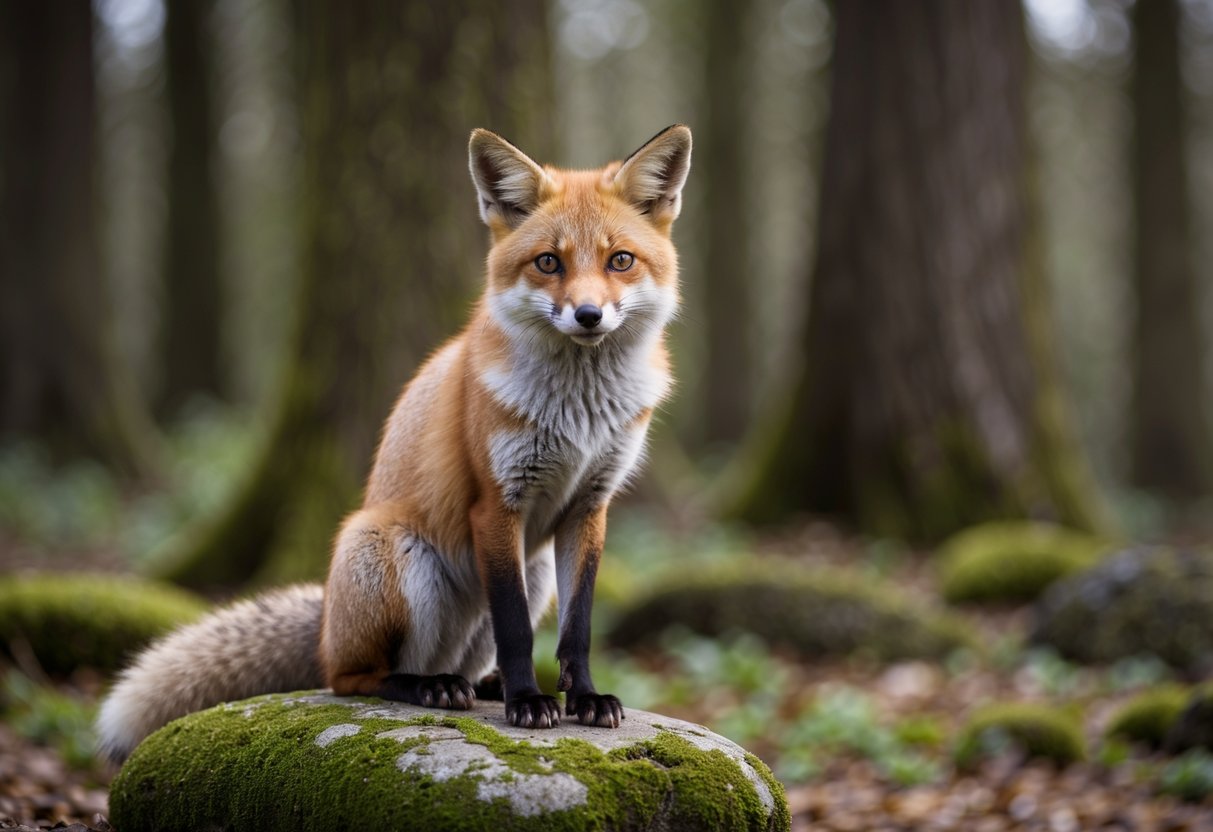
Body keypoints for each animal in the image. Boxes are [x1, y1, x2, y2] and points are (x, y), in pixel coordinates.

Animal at [96, 124, 693, 761]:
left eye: (620, 260)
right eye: (548, 262)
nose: (587, 315)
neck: (579, 415)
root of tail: (327, 625)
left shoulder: (589, 506)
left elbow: (577, 630)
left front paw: (582, 698)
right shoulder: (495, 504)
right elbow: (514, 630)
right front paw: (530, 703)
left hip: (532, 578)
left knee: (466, 659)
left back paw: (484, 684)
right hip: (400, 559)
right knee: (354, 678)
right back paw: (431, 687)